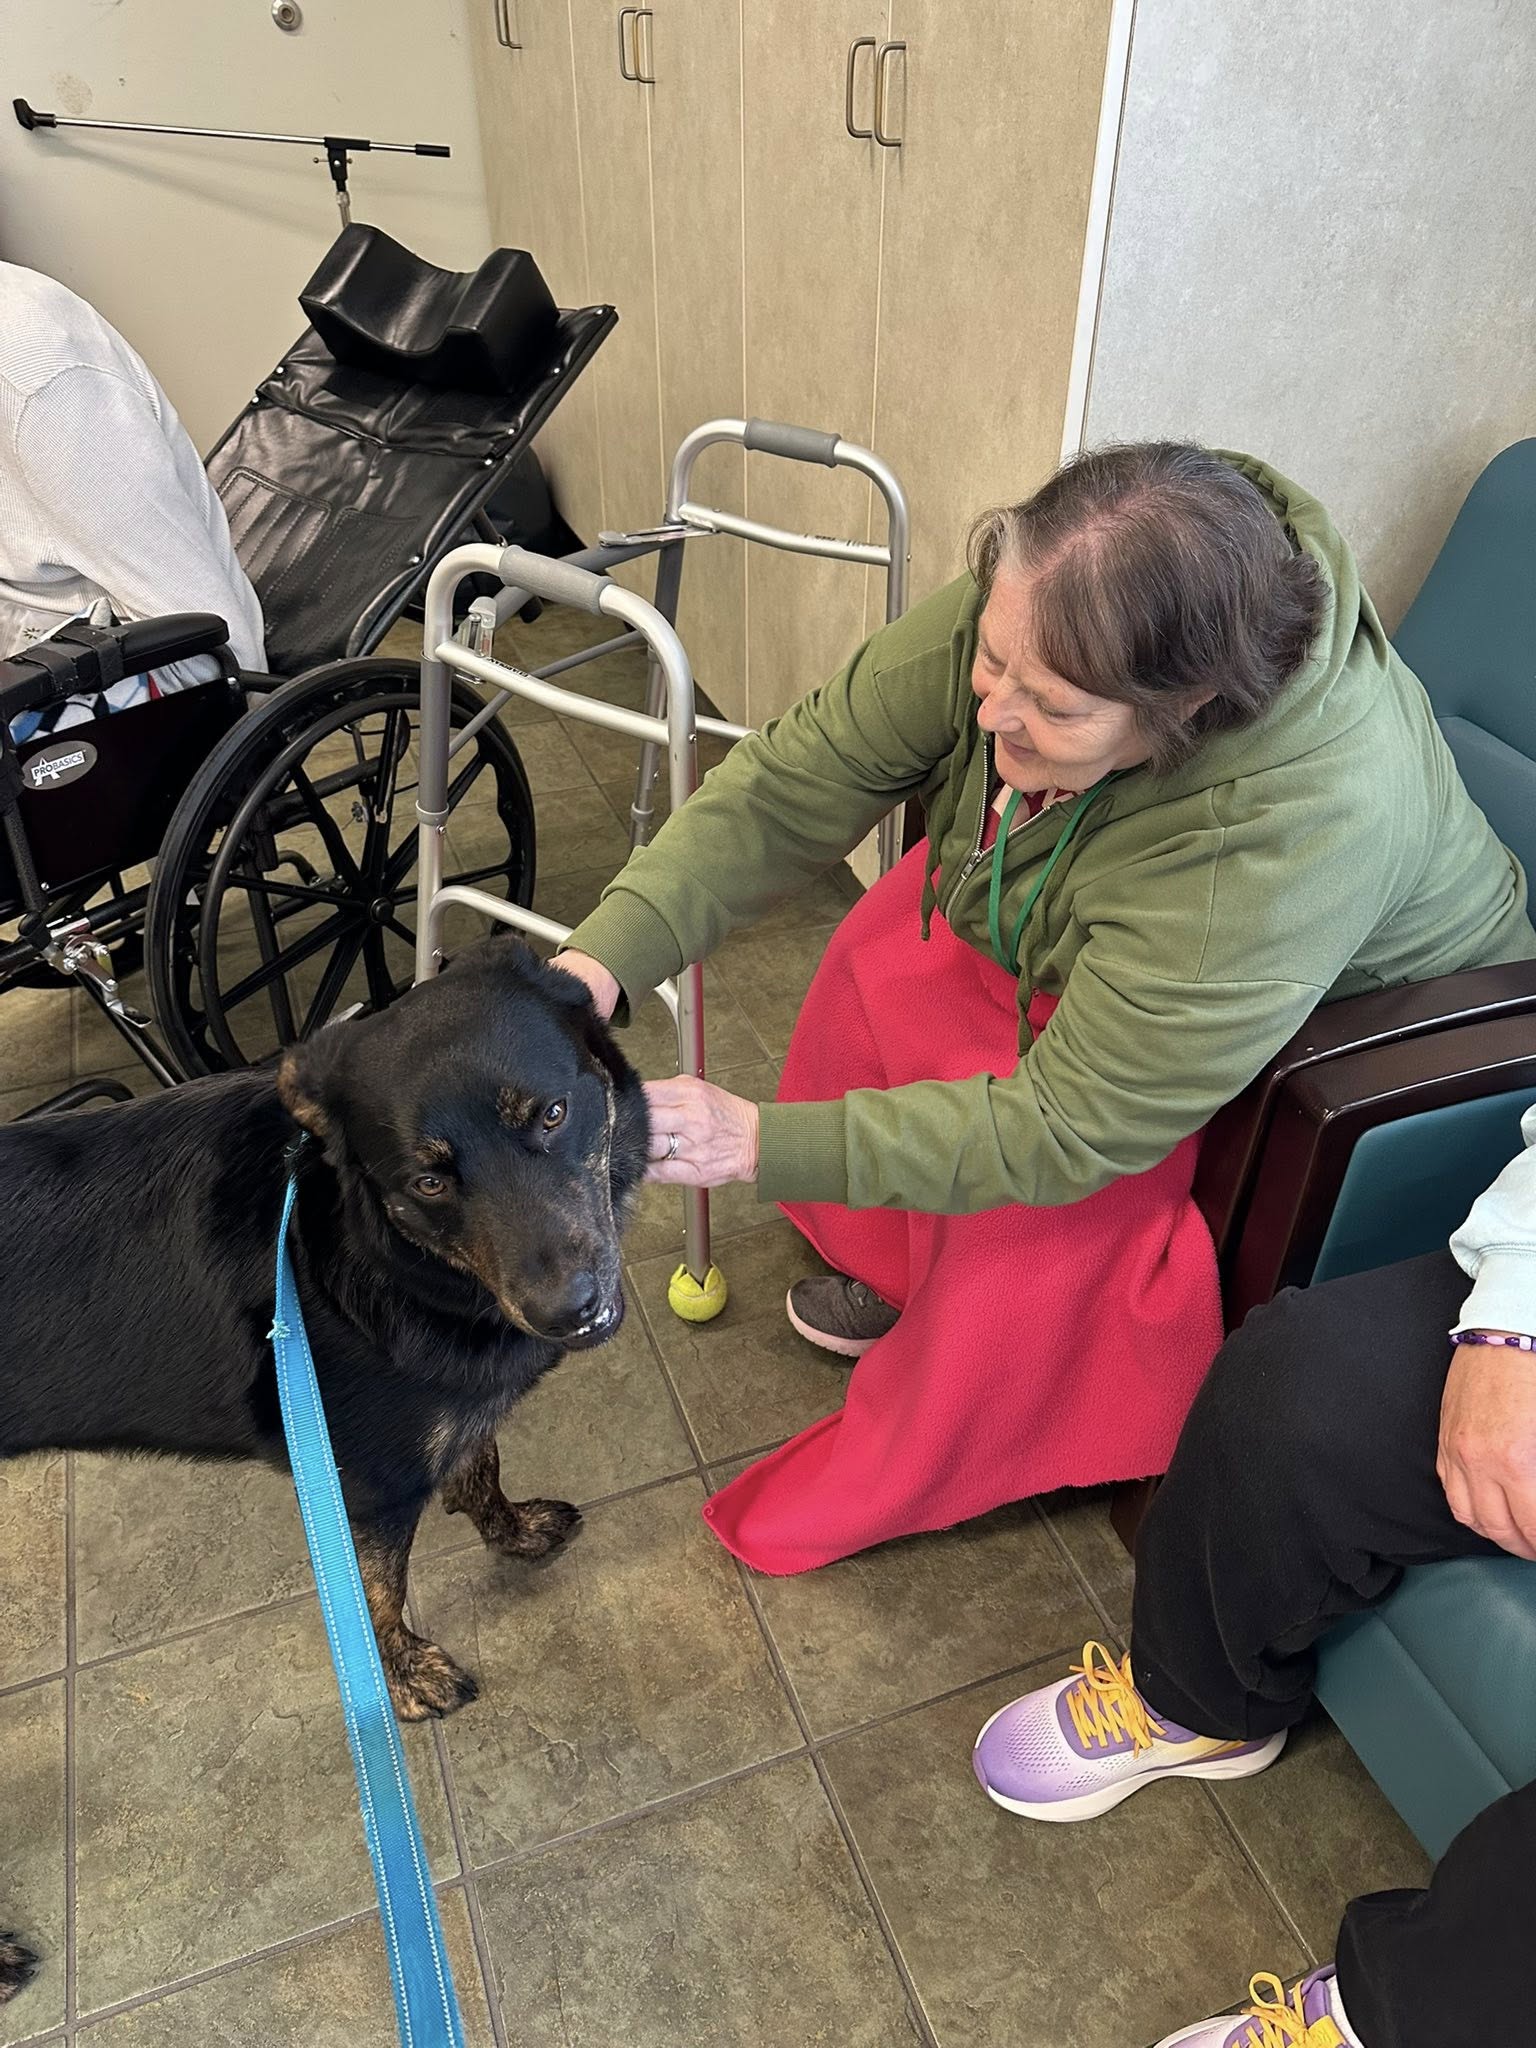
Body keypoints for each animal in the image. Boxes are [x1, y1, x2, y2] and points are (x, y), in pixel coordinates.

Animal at [0, 933, 648, 2007]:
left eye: (553, 1115)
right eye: (429, 1182)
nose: (571, 1312)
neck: (362, 1244)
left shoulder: (448, 1415)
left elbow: (479, 1467)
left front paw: (511, 1529)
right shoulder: (368, 1485)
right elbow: (378, 1595)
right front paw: (411, 1677)